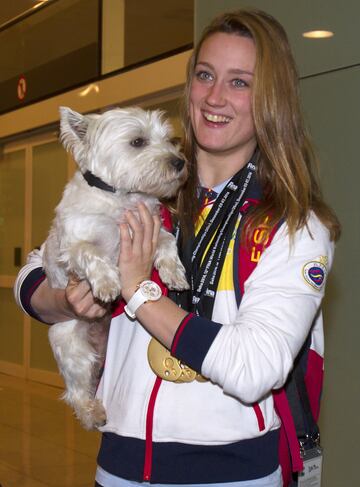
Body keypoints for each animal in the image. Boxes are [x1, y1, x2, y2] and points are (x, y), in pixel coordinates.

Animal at [43, 106, 188, 430]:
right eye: (137, 142)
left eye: (168, 139)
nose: (180, 162)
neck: (121, 197)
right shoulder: (73, 246)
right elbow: (92, 253)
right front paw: (108, 284)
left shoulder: (155, 230)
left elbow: (168, 243)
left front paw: (174, 273)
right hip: (71, 347)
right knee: (77, 391)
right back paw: (92, 413)